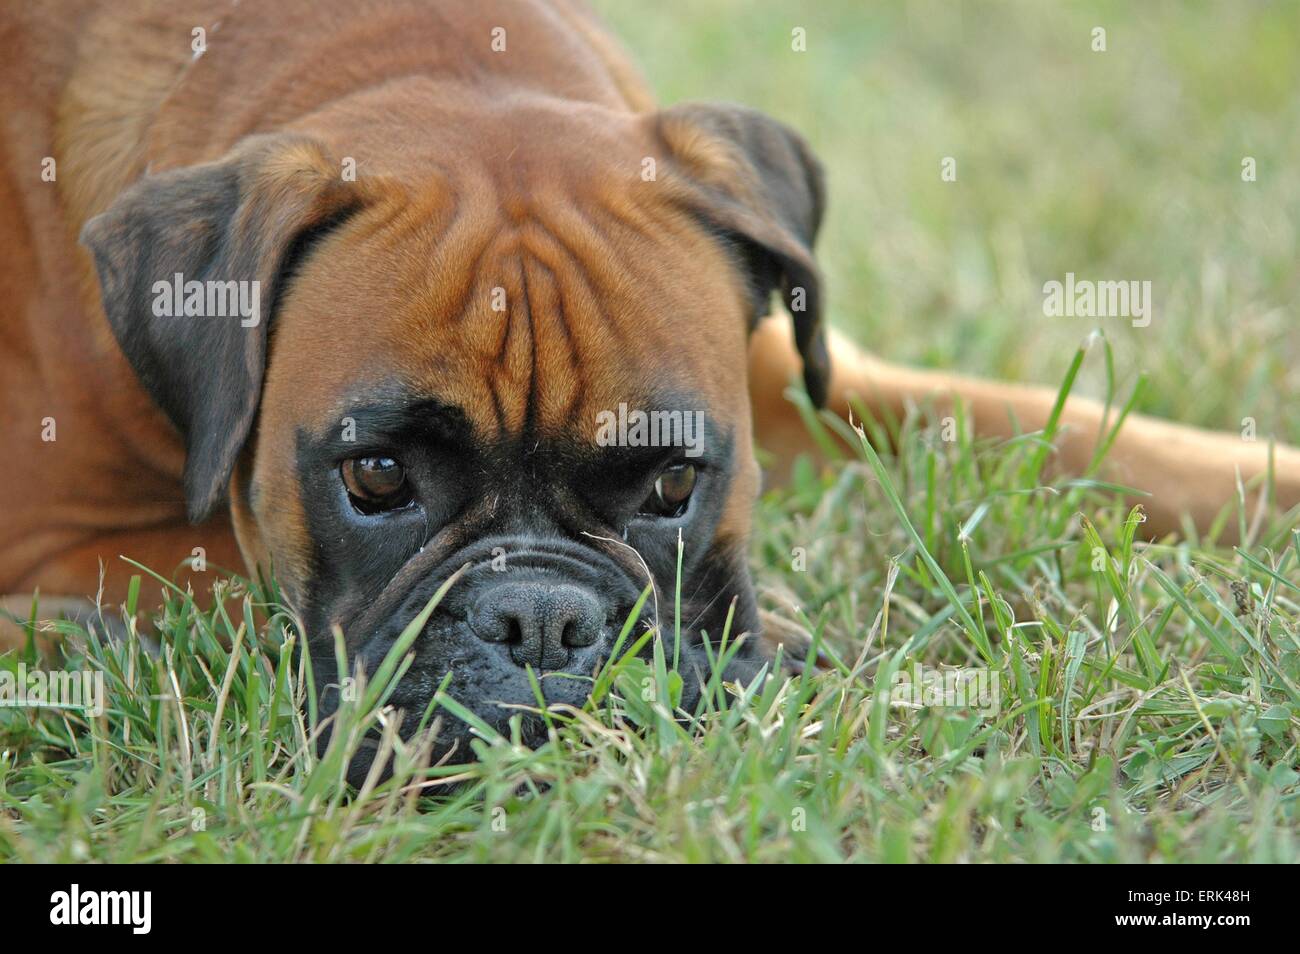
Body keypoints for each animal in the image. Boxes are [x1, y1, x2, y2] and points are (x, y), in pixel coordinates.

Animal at [2, 0, 1300, 769]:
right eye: (373, 478)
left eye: (675, 483)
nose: (540, 620)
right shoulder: (56, 550)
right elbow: (235, 581)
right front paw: (785, 640)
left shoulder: (798, 376)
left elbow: (1041, 425)